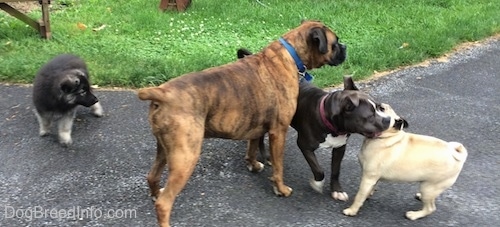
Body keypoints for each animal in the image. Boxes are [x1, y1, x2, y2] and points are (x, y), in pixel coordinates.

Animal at [138, 20, 348, 226]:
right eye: (335, 42)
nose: (345, 47)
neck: (290, 54)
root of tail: (162, 93)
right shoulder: (278, 131)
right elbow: (278, 166)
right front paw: (280, 188)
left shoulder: (256, 128)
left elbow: (252, 149)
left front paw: (253, 165)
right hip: (185, 157)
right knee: (165, 203)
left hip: (164, 150)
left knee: (152, 177)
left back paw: (155, 193)